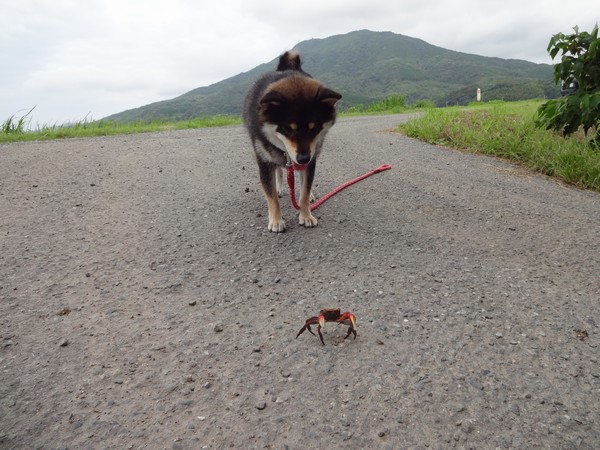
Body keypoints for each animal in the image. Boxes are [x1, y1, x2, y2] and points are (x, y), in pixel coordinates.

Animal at [243, 51, 342, 232]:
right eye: (287, 129)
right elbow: (271, 196)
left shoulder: (311, 159)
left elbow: (304, 192)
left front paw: (306, 215)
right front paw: (276, 220)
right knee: (280, 171)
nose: (303, 158)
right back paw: (280, 188)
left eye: (314, 128)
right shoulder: (264, 161)